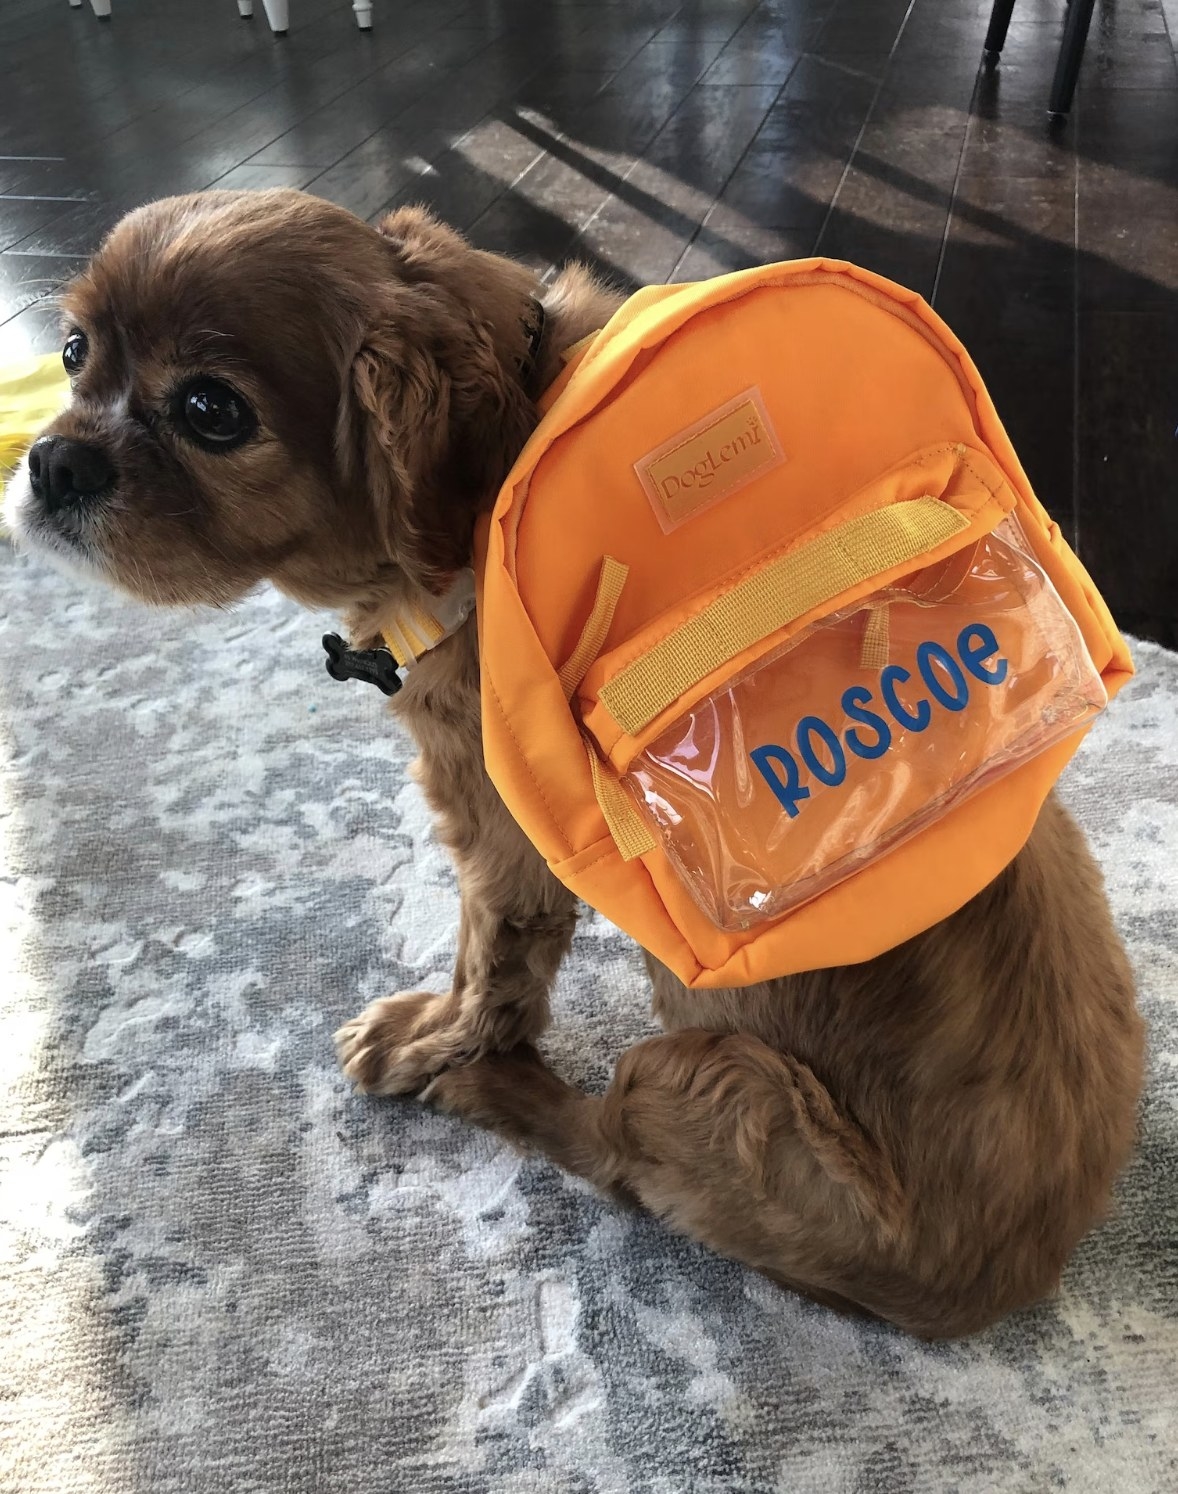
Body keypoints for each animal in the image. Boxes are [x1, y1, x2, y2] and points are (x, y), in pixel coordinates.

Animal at [0, 189, 1142, 1344]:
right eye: (73, 351)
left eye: (212, 410)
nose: (50, 463)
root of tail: (1003, 1288)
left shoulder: (500, 836)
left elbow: (488, 966)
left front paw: (436, 1043)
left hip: (698, 1076)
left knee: (616, 1157)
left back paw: (503, 1095)